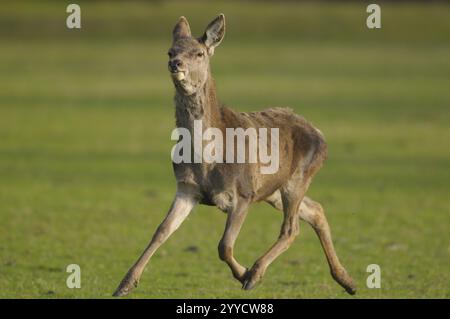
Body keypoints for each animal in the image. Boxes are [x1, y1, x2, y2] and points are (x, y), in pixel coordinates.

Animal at [112, 12, 356, 298]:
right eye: (170, 50)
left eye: (199, 53)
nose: (175, 63)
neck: (208, 159)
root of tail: (321, 135)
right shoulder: (186, 188)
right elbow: (160, 231)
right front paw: (125, 284)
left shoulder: (243, 193)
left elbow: (224, 245)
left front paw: (245, 274)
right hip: (273, 189)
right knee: (316, 210)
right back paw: (348, 281)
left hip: (299, 177)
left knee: (291, 228)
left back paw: (258, 273)